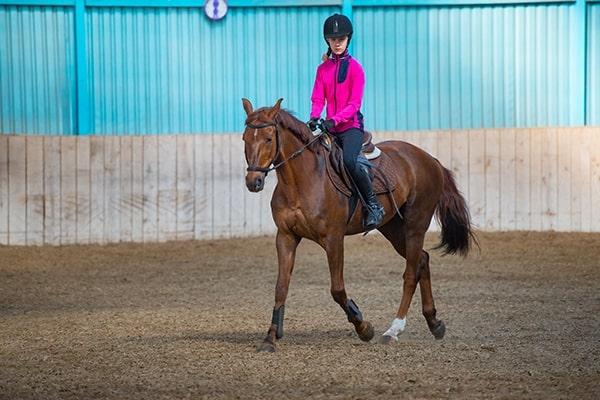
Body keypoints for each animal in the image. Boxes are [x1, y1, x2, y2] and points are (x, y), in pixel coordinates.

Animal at [241, 98, 476, 352]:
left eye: (268, 138)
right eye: (245, 138)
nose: (253, 182)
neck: (301, 181)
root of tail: (429, 159)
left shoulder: (333, 238)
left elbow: (337, 289)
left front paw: (364, 327)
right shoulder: (285, 237)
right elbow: (280, 287)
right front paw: (270, 338)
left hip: (415, 225)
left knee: (411, 273)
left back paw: (393, 330)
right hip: (393, 228)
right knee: (422, 260)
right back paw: (434, 323)